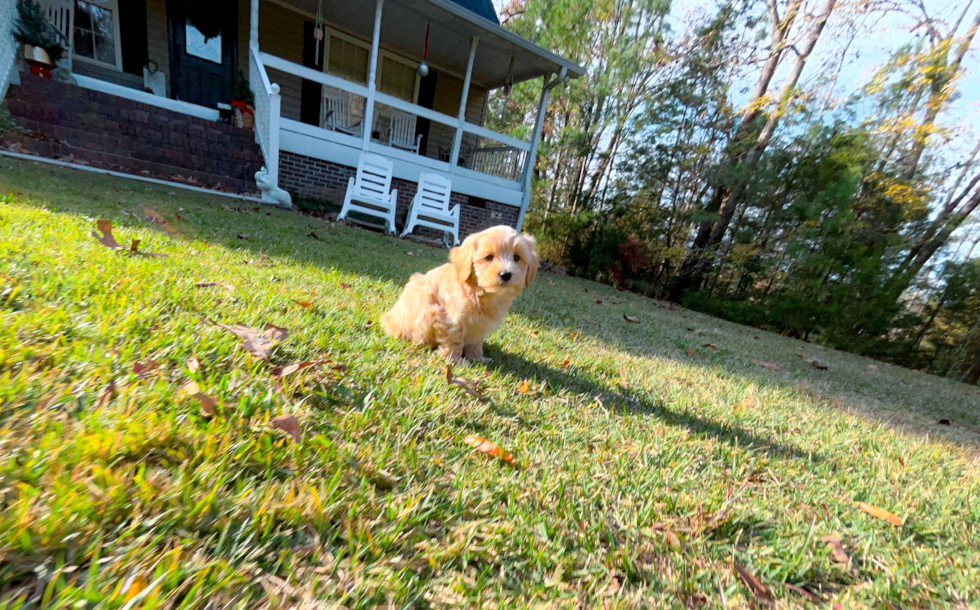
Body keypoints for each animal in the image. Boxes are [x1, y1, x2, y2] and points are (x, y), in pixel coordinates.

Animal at [380, 226, 540, 364]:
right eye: (489, 257)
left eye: (517, 257)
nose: (506, 274)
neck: (478, 291)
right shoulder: (451, 319)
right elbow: (454, 340)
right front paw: (456, 362)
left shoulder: (478, 325)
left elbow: (475, 342)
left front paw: (477, 358)